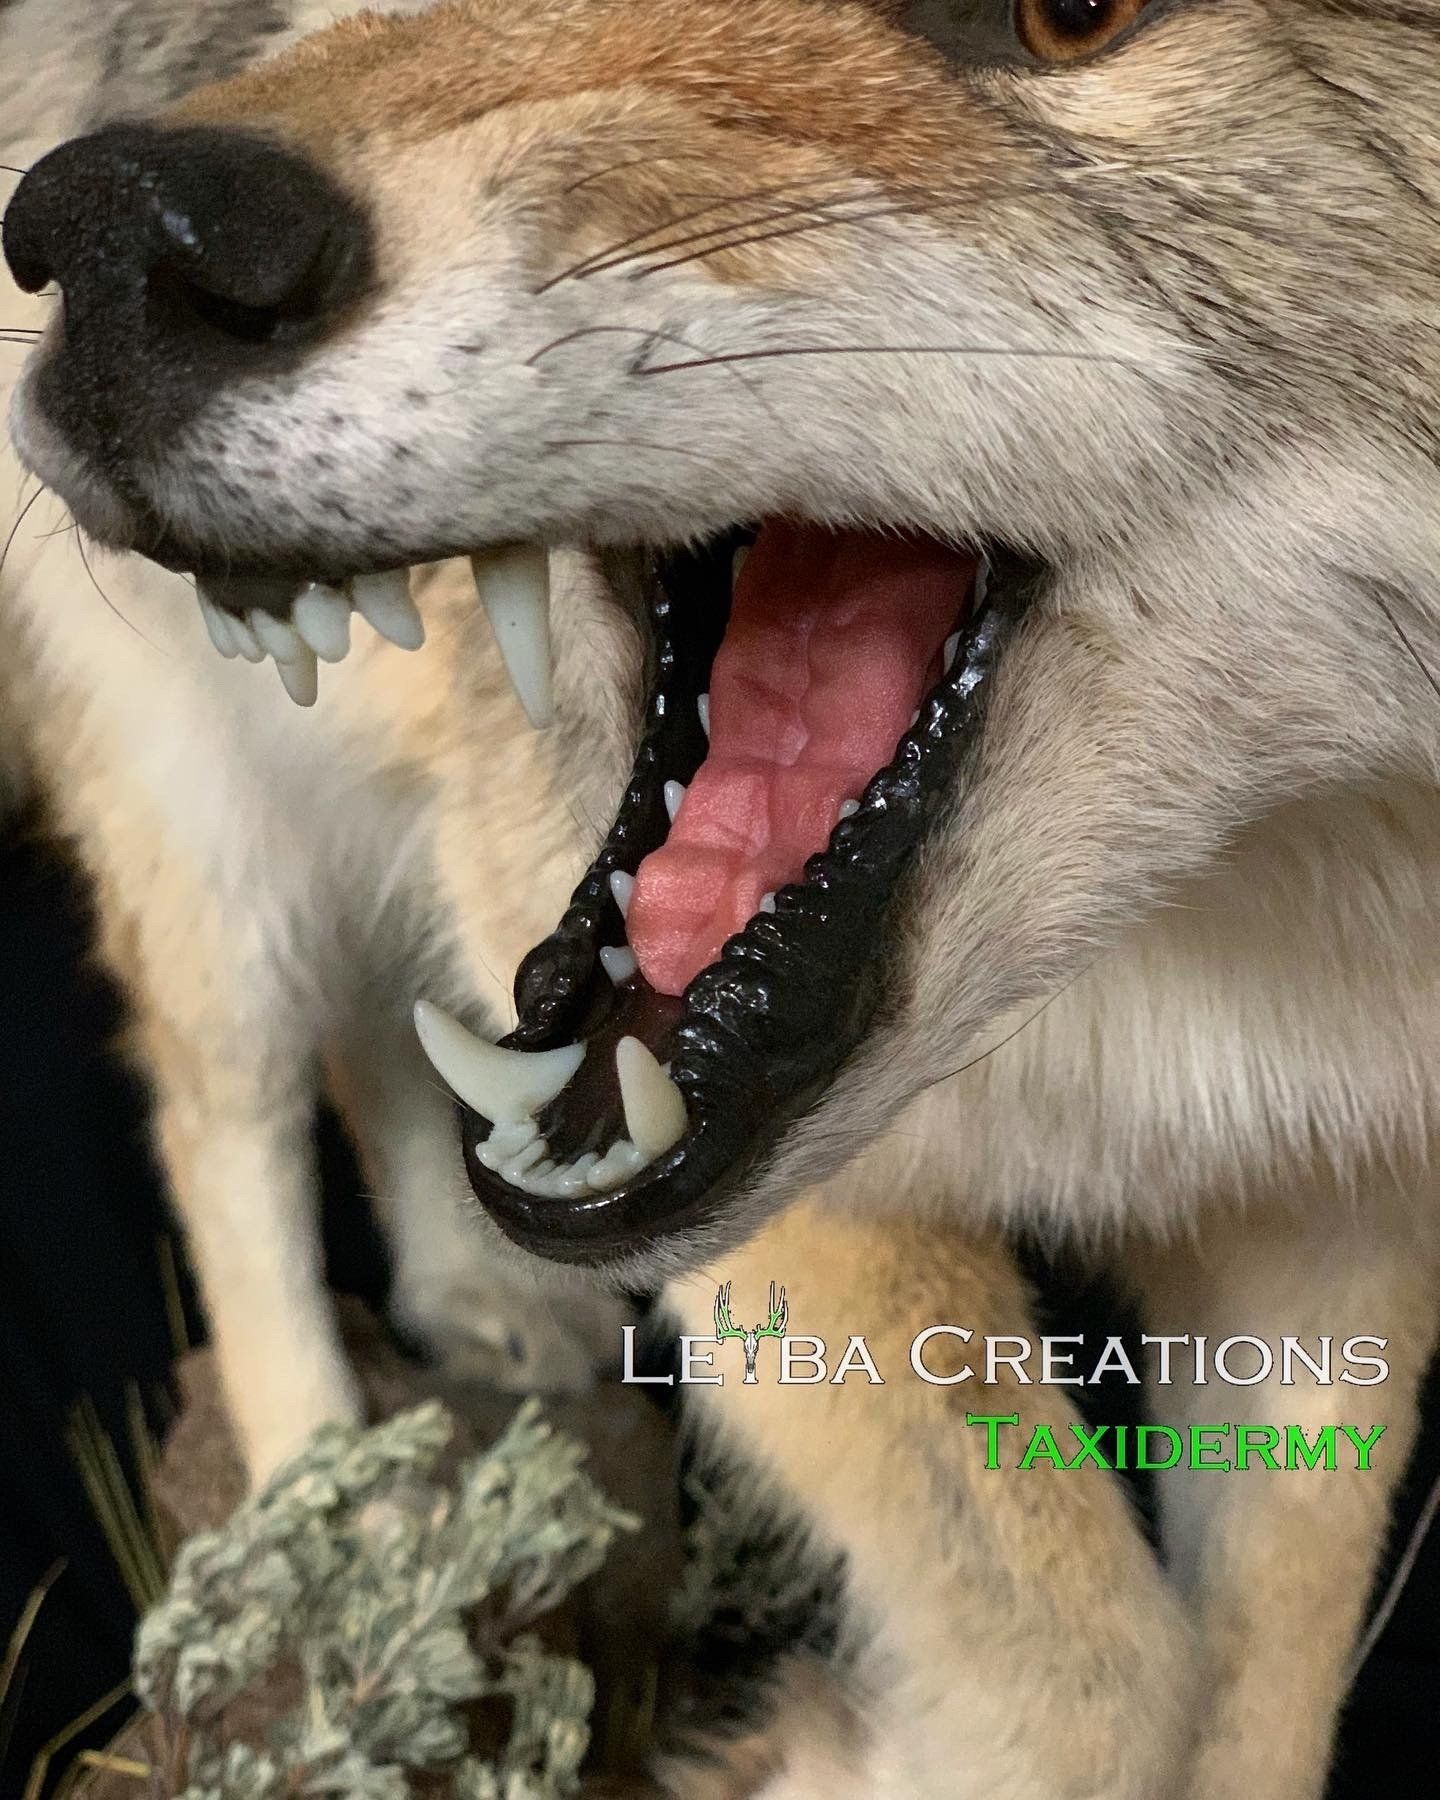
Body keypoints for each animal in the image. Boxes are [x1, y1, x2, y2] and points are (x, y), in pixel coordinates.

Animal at [4, 1, 1438, 1795]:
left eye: (1069, 15)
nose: (111, 229)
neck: (1225, 934)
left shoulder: (1340, 1208)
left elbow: (1260, 1697)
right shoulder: (815, 1203)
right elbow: (1092, 1673)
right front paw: (837, 1757)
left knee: (383, 1051)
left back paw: (482, 1311)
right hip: (214, 842)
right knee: (230, 1131)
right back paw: (324, 1523)